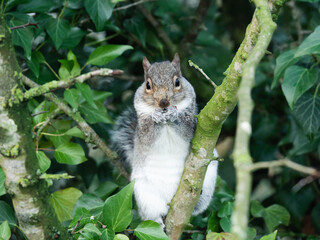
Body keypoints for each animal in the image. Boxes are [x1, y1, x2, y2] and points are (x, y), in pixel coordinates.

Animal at [111, 53, 219, 228]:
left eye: (177, 82)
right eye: (148, 85)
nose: (163, 102)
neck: (165, 120)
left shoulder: (192, 124)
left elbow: (186, 129)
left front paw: (174, 116)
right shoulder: (143, 130)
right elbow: (148, 132)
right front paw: (155, 117)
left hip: (208, 180)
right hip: (145, 196)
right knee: (152, 214)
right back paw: (158, 221)